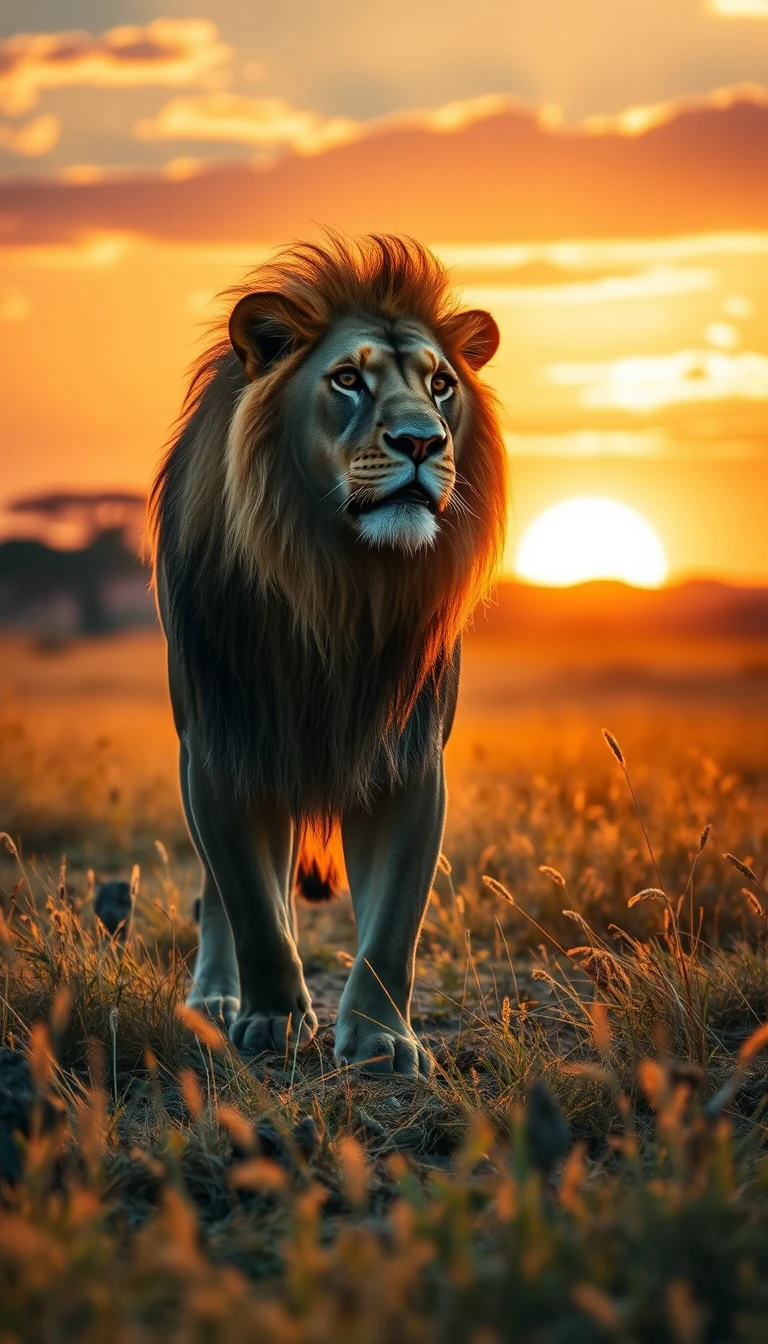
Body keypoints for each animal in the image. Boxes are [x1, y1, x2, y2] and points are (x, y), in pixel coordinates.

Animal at [150, 233, 507, 1076]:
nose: (422, 442)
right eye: (348, 378)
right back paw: (216, 999)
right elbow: (251, 905)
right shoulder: (221, 746)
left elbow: (394, 923)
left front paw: (380, 1039)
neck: (341, 585)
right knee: (219, 897)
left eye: (441, 385)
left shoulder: (409, 756)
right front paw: (272, 1018)